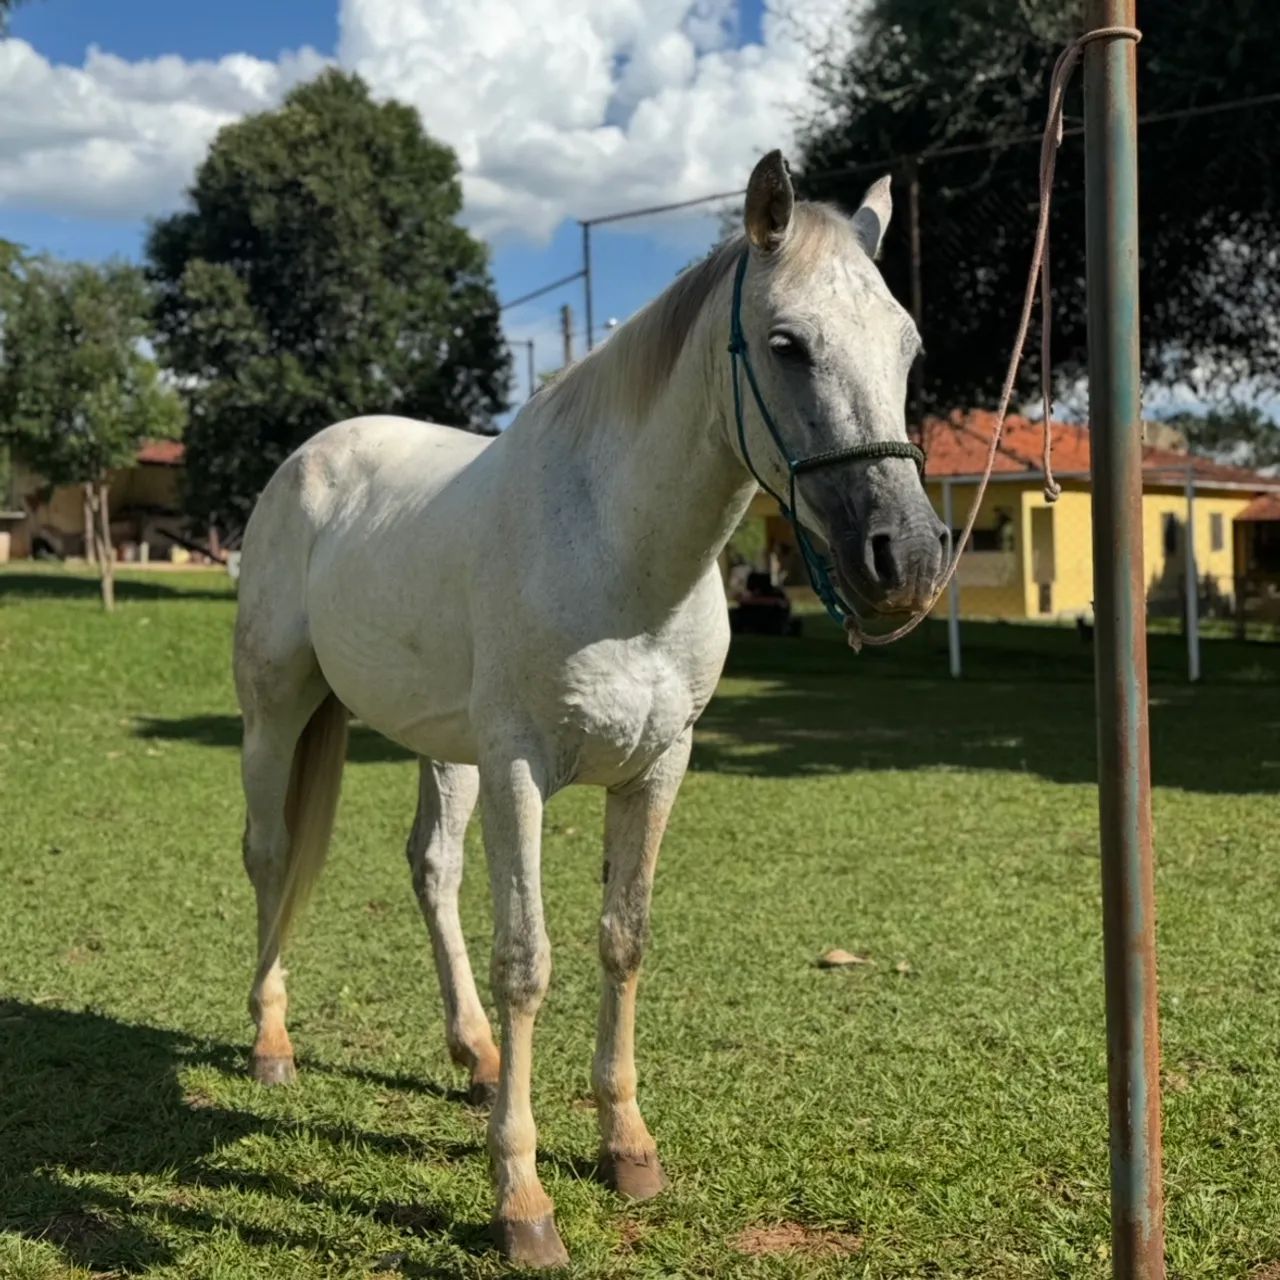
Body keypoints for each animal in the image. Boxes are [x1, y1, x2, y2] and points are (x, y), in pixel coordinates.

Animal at [232, 149, 949, 1269]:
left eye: (908, 346)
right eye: (787, 345)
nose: (905, 561)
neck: (618, 553)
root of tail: (306, 460)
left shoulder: (657, 765)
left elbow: (624, 938)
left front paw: (626, 1146)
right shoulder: (522, 767)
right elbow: (529, 959)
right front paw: (522, 1199)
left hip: (445, 747)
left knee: (431, 869)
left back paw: (475, 1054)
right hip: (279, 713)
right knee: (270, 855)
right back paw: (272, 1041)